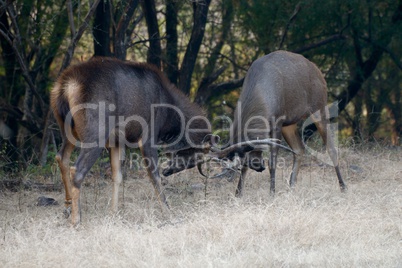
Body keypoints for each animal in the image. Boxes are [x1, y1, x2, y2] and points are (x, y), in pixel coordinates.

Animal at [51, 57, 210, 226]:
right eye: (193, 159)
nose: (168, 171)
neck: (169, 117)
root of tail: (65, 87)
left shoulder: (116, 141)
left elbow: (117, 176)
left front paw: (114, 213)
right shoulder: (148, 135)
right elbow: (154, 175)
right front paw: (168, 212)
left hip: (67, 130)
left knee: (61, 157)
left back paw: (67, 207)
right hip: (95, 132)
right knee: (77, 169)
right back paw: (76, 219)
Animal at [207, 50, 346, 197]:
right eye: (245, 159)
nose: (259, 167)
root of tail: (319, 72)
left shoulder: (277, 122)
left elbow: (273, 162)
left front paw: (272, 193)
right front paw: (238, 194)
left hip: (319, 107)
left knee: (331, 149)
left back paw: (343, 187)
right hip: (289, 123)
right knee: (299, 149)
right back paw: (291, 188)